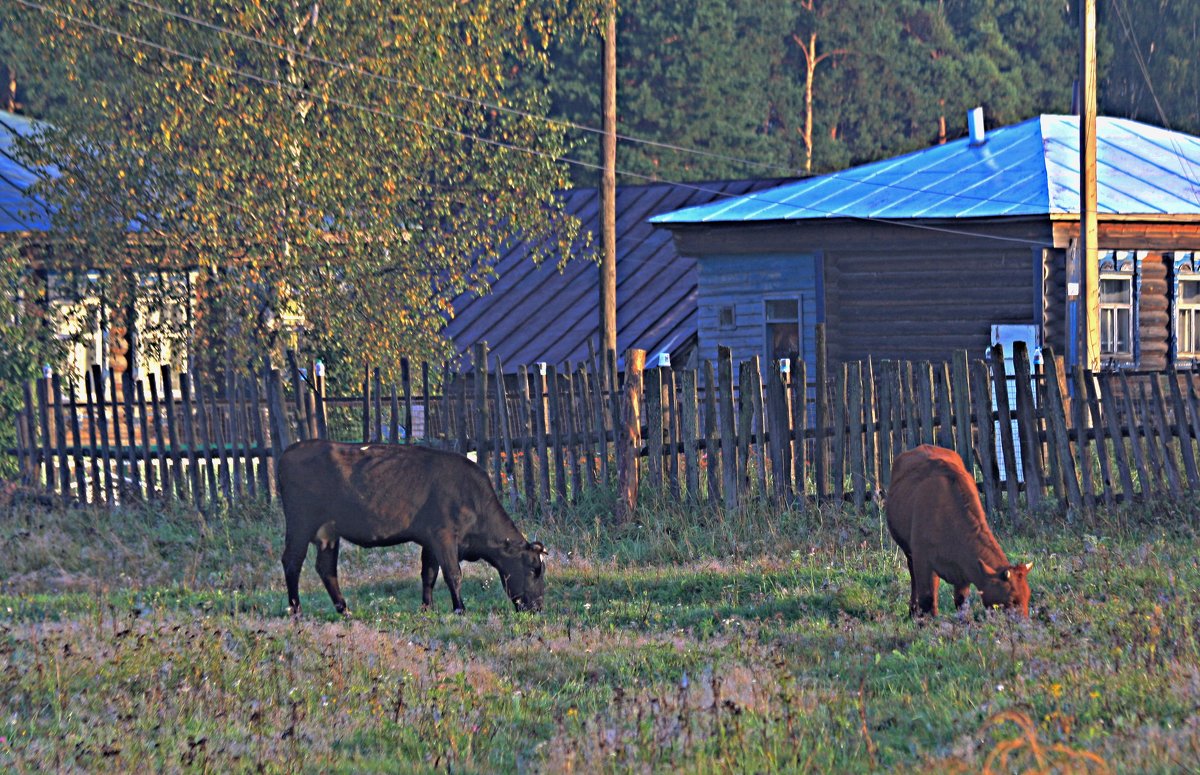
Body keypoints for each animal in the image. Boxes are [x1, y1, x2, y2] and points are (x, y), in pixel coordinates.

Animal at [278, 441, 547, 614]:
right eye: (535, 569)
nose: (538, 607)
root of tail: (292, 449)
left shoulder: (430, 541)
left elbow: (429, 575)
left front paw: (427, 608)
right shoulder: (444, 535)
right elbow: (453, 574)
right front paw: (460, 609)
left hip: (328, 532)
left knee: (326, 569)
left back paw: (344, 610)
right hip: (300, 523)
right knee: (292, 562)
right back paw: (297, 611)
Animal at [883, 448, 1032, 619]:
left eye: (1028, 596)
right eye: (1011, 600)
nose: (1024, 623)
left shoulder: (964, 569)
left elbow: (961, 601)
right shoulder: (922, 560)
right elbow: (927, 598)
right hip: (909, 552)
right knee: (914, 577)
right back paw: (913, 610)